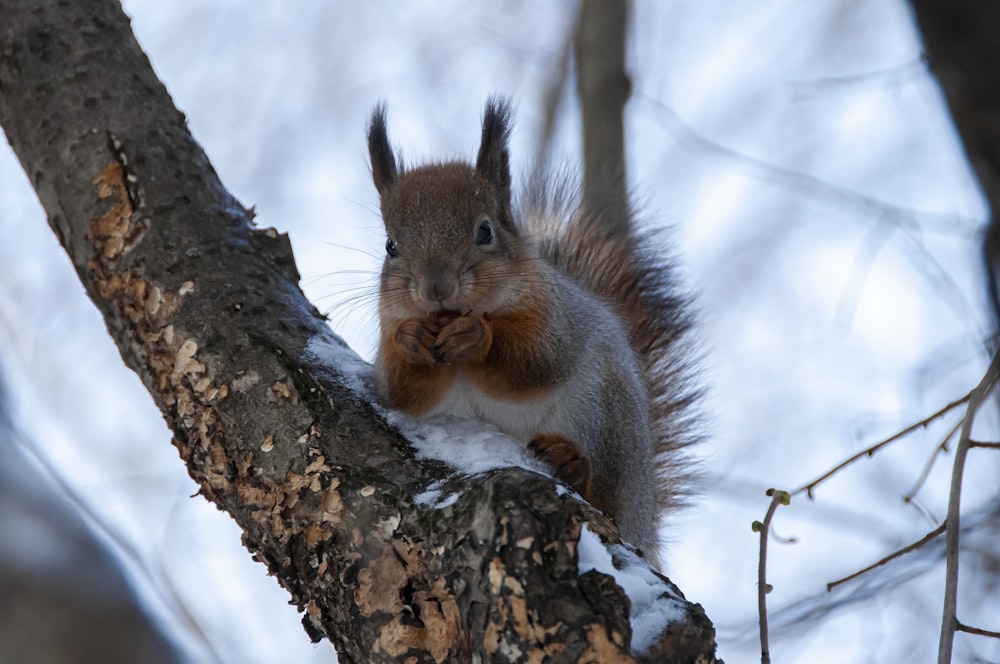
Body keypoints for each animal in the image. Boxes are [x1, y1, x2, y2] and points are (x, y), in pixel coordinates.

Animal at [364, 96, 700, 568]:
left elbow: (535, 362)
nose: (436, 288)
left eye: (485, 230)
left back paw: (574, 464)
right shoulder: (388, 333)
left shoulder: (555, 318)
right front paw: (410, 340)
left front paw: (476, 338)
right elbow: (402, 391)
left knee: (607, 499)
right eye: (390, 246)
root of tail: (645, 520)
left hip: (606, 415)